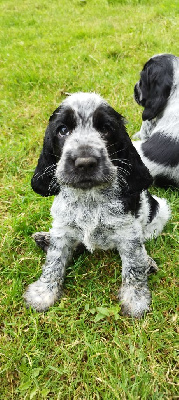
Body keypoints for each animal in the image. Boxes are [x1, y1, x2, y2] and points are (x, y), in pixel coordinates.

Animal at [24, 92, 171, 318]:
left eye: (105, 129)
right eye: (63, 130)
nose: (85, 162)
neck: (89, 197)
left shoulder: (128, 233)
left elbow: (134, 266)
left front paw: (135, 300)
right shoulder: (62, 227)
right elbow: (54, 261)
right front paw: (43, 293)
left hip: (159, 213)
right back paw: (45, 239)